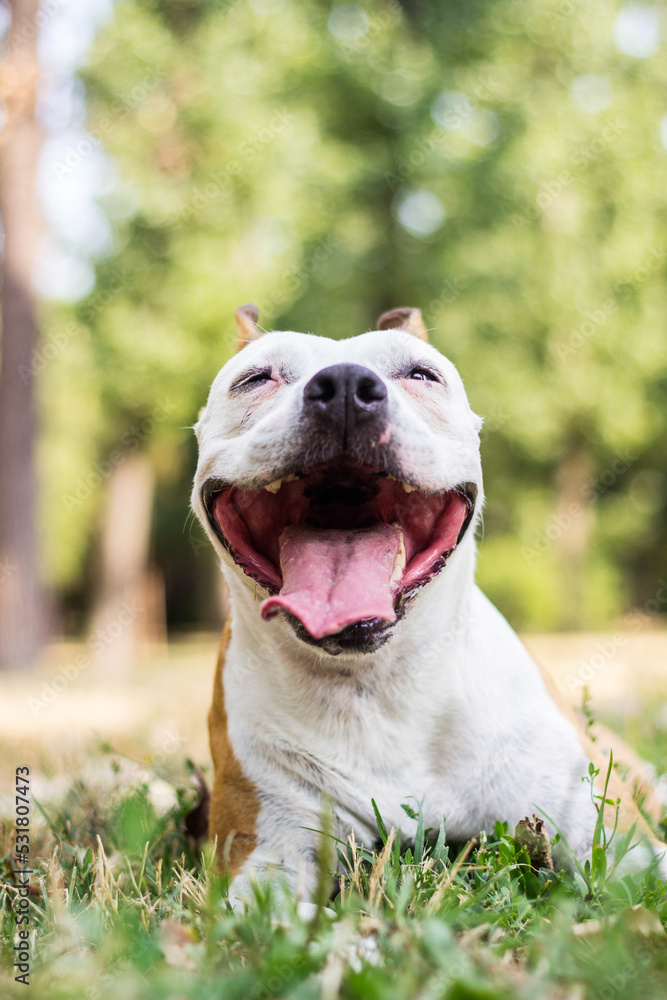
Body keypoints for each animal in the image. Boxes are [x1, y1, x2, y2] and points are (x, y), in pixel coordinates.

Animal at [190, 300, 664, 904]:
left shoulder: (621, 843)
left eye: (421, 374)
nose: (345, 386)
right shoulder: (268, 847)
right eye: (255, 379)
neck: (380, 684)